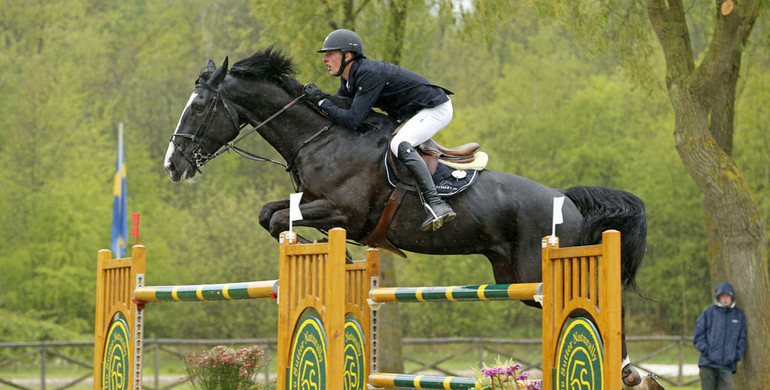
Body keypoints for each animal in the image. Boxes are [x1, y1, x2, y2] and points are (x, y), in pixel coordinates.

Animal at [164, 47, 648, 388]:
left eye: (199, 106)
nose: (173, 165)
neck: (320, 138)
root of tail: (566, 199)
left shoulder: (344, 211)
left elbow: (280, 217)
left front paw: (315, 248)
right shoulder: (315, 202)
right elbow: (271, 213)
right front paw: (321, 252)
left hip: (544, 274)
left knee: (604, 307)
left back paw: (629, 372)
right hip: (515, 276)